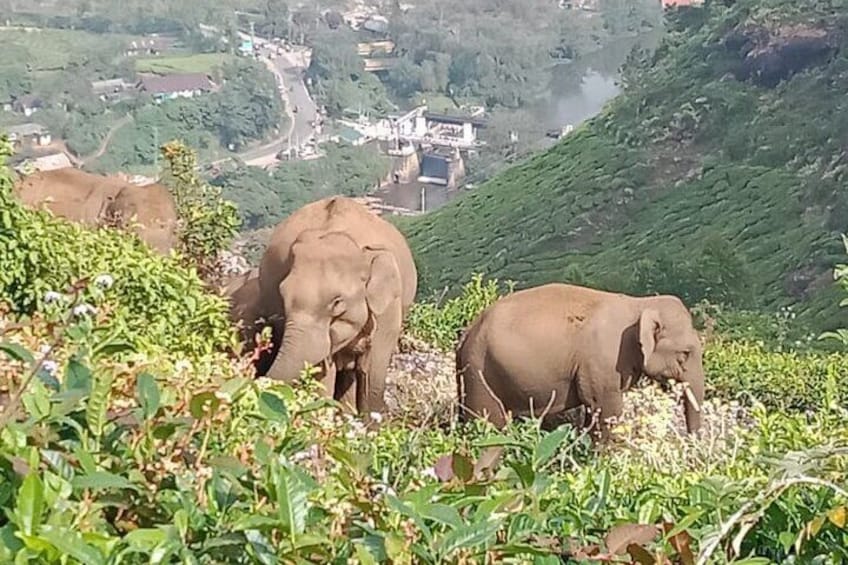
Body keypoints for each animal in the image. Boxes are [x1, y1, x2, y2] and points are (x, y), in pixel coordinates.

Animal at [454, 282, 704, 436]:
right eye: (685, 353)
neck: (639, 304)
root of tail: (466, 334)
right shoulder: (603, 363)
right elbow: (605, 409)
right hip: (479, 373)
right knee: (489, 425)